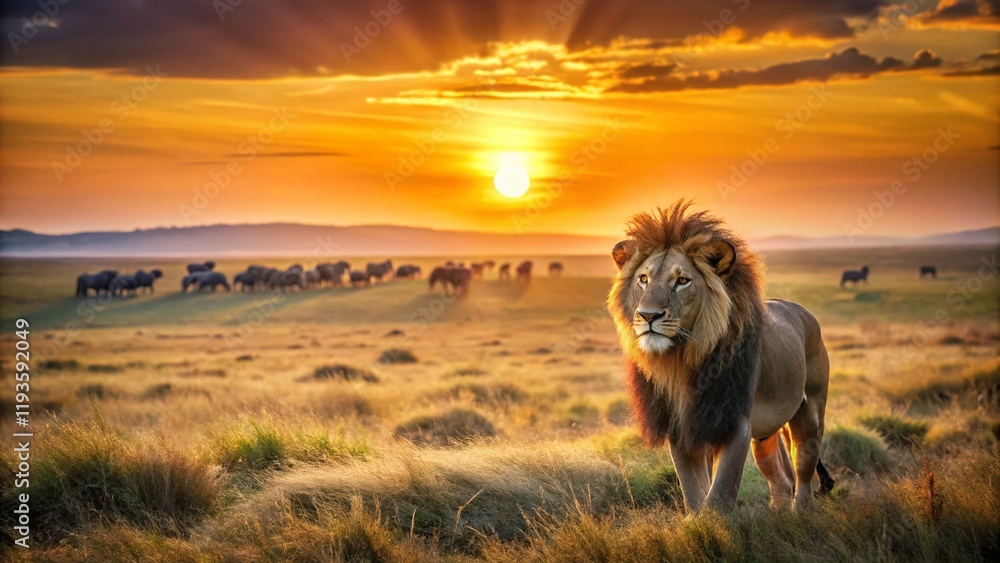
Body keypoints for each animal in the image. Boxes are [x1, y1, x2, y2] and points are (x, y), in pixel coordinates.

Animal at [607, 200, 833, 513]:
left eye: (682, 280)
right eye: (643, 279)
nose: (648, 315)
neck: (681, 360)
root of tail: (801, 310)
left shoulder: (733, 421)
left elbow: (720, 491)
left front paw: (712, 521)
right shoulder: (682, 426)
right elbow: (692, 488)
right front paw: (695, 520)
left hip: (810, 410)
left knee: (803, 470)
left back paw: (801, 512)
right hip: (765, 436)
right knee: (779, 479)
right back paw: (778, 515)